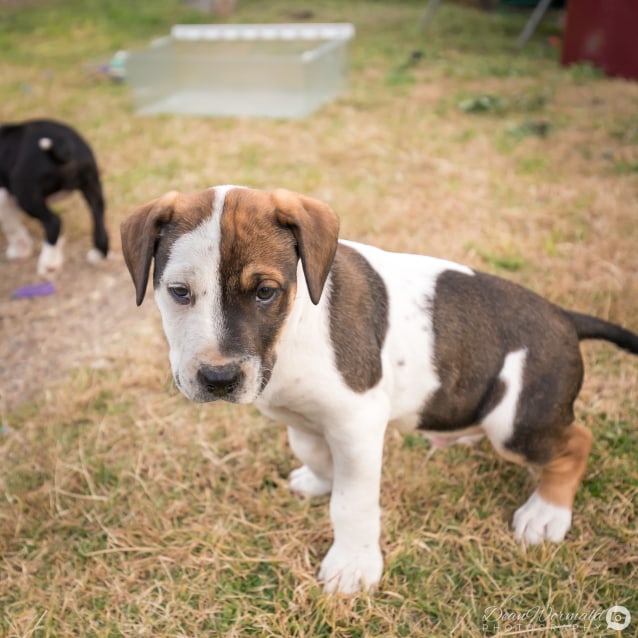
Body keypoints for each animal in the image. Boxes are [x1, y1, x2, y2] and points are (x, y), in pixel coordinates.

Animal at [0, 119, 109, 278]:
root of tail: (62, 146)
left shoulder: (4, 195)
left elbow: (11, 224)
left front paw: (20, 249)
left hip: (25, 192)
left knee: (53, 221)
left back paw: (48, 264)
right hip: (92, 183)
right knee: (98, 214)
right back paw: (99, 253)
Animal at [121, 188, 638, 596]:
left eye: (265, 292)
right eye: (179, 292)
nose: (219, 378)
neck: (294, 329)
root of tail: (565, 317)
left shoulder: (357, 422)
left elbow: (353, 502)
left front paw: (352, 564)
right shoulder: (304, 417)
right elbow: (313, 451)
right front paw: (320, 479)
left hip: (517, 421)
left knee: (576, 443)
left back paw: (547, 513)